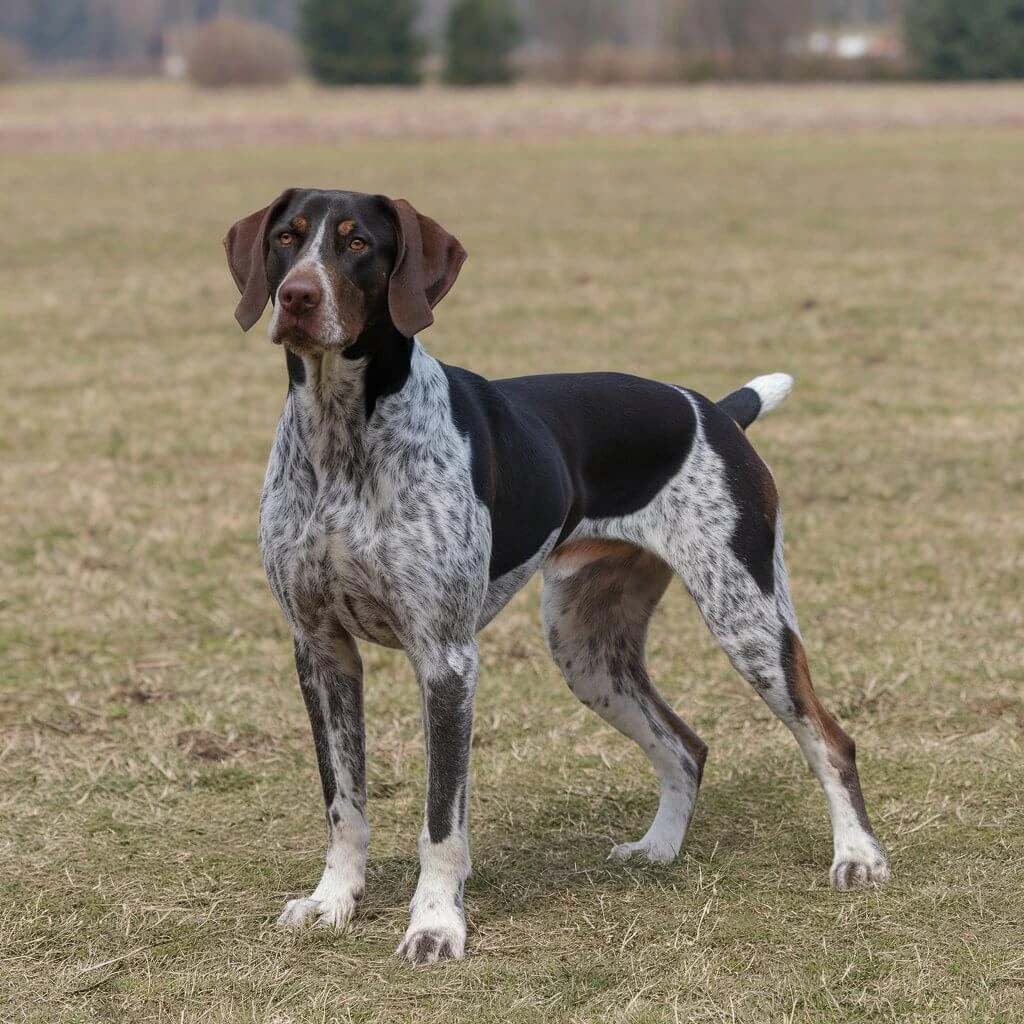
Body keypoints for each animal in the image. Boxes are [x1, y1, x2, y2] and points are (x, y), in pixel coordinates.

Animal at [224, 188, 888, 962]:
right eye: (287, 237)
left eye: (358, 243)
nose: (298, 296)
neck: (341, 436)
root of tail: (715, 411)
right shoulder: (322, 649)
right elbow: (344, 804)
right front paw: (334, 902)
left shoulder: (446, 660)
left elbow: (441, 820)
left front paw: (435, 925)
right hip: (587, 649)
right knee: (686, 747)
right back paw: (659, 849)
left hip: (750, 620)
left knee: (829, 739)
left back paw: (858, 857)